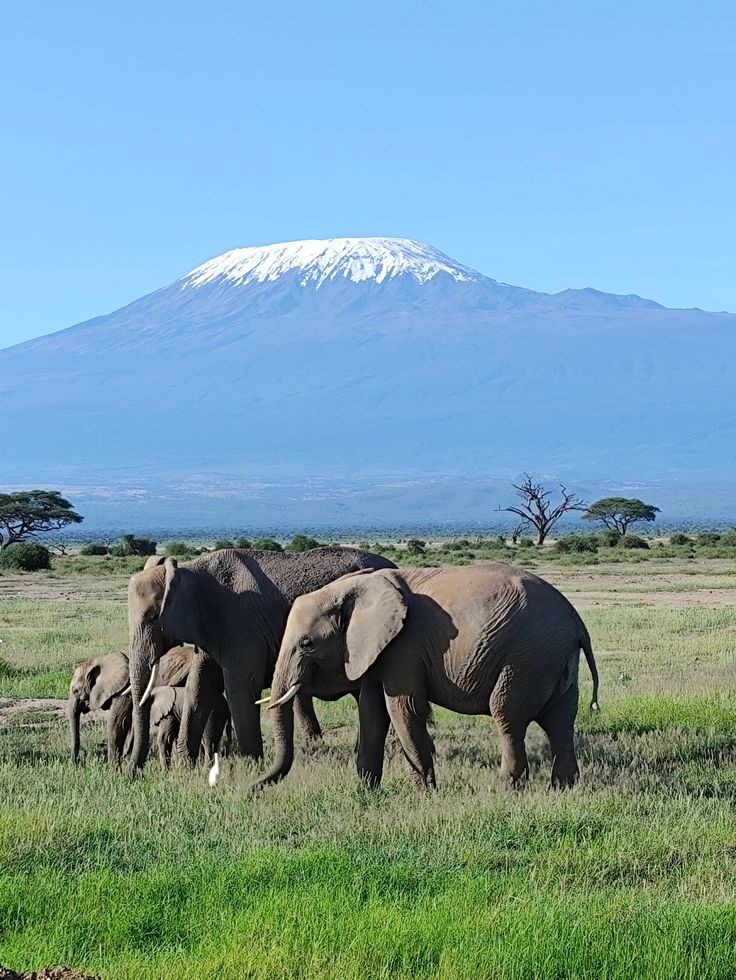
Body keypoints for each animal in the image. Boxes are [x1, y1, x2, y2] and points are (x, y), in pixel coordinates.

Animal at [68, 645, 198, 764]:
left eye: (75, 691)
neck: (100, 660)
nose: (76, 762)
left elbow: (116, 722)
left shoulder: (124, 693)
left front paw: (113, 767)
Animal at [126, 547, 396, 770]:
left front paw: (250, 769)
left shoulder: (241, 626)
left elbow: (239, 689)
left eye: (153, 618)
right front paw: (185, 770)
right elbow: (200, 688)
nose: (132, 773)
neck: (189, 572)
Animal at [256, 563, 600, 791]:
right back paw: (564, 788)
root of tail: (577, 623)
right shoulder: (380, 649)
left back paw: (506, 789)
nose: (252, 789)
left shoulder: (404, 645)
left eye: (307, 644)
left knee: (507, 716)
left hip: (528, 657)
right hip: (553, 658)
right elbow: (371, 712)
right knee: (560, 721)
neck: (356, 587)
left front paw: (423, 792)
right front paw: (367, 791)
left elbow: (403, 709)